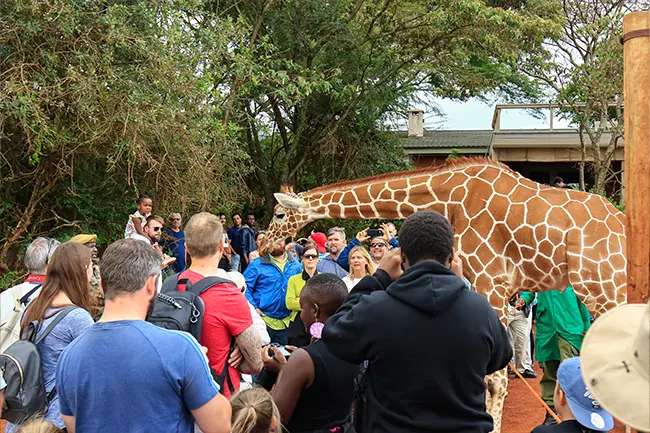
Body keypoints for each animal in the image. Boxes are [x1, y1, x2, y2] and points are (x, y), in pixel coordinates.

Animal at [260, 156, 628, 432]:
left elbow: (495, 382)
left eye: (279, 214)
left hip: (606, 288)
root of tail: (624, 225)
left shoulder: (491, 282)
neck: (449, 196)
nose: (264, 244)